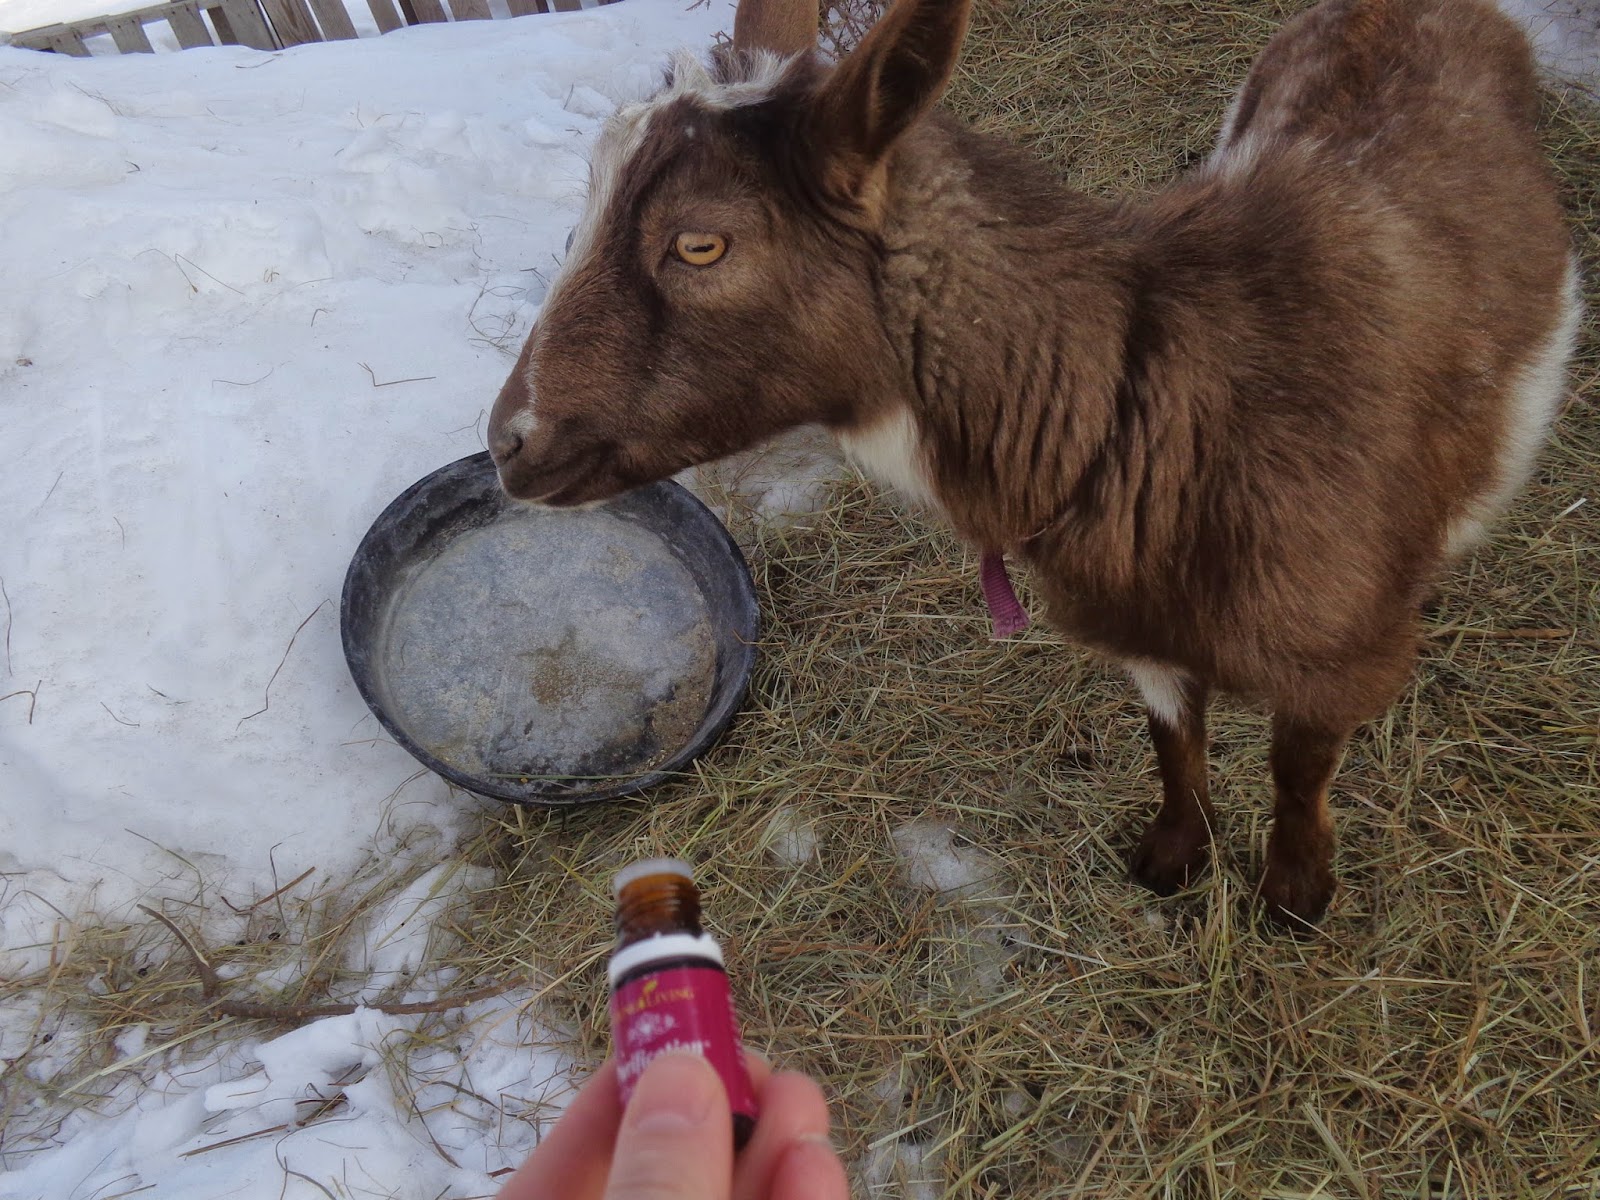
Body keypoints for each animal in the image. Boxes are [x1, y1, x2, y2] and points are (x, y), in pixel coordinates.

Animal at [487, 0, 1580, 925]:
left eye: (702, 244)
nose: (508, 444)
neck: (1158, 397)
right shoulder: (1142, 626)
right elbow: (1174, 743)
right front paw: (1171, 859)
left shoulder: (1336, 653)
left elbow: (1297, 775)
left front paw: (1293, 898)